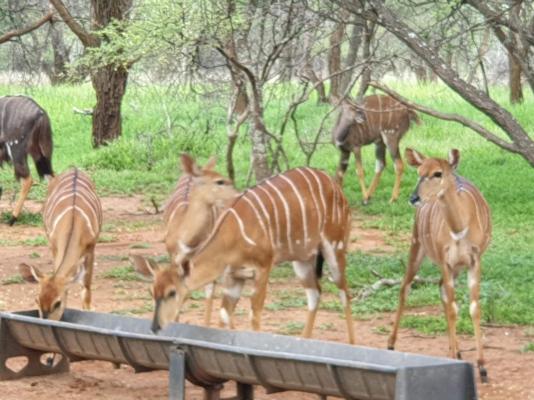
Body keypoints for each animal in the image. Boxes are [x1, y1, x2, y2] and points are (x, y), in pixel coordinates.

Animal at [0, 94, 54, 225]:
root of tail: (40, 112)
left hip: (17, 151)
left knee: (28, 180)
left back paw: (12, 218)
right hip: (40, 154)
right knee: (51, 176)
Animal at [18, 167, 102, 320]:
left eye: (57, 303)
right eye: (37, 300)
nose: (46, 321)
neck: (74, 221)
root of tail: (74, 168)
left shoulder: (91, 248)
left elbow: (86, 288)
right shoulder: (54, 246)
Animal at [136, 166, 358, 344]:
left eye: (172, 292)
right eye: (152, 292)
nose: (155, 326)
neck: (231, 235)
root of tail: (333, 183)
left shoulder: (263, 267)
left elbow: (255, 314)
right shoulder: (233, 277)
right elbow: (225, 314)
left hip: (335, 247)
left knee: (344, 292)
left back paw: (351, 345)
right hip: (302, 259)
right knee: (315, 293)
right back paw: (304, 340)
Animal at [390, 148, 494, 382]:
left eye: (438, 173)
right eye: (419, 172)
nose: (414, 198)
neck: (459, 228)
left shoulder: (474, 261)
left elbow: (474, 308)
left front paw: (483, 367)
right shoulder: (446, 261)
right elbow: (454, 308)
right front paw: (458, 359)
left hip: (454, 267)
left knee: (441, 291)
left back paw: (456, 350)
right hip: (417, 246)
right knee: (405, 288)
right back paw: (390, 345)